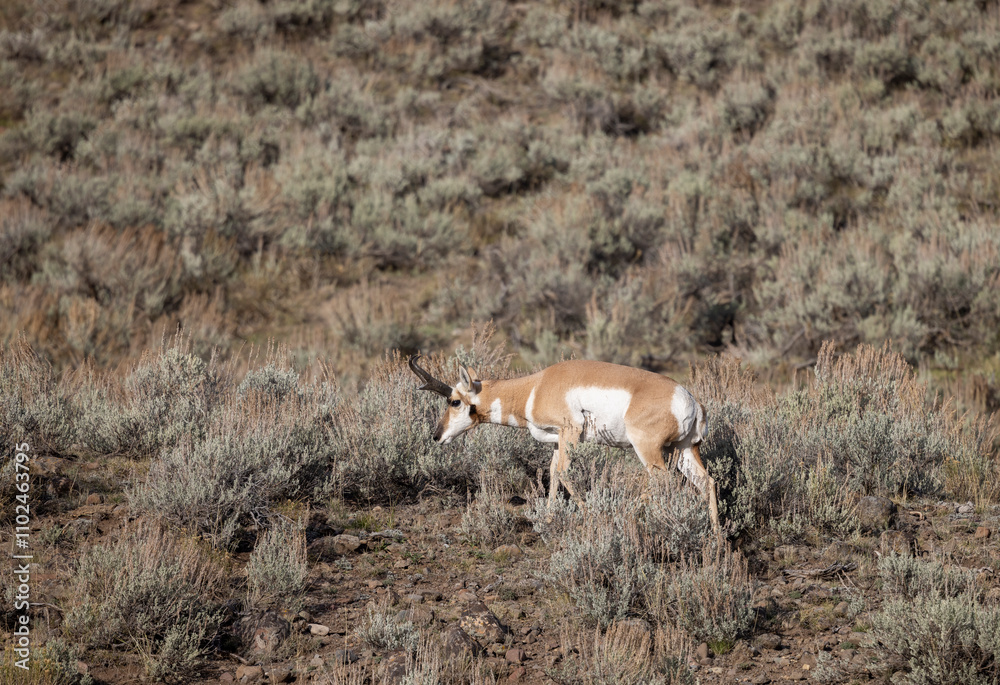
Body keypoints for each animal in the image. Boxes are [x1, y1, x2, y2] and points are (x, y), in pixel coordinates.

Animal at [409, 356, 720, 531]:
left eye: (454, 401)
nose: (437, 436)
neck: (535, 386)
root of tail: (690, 400)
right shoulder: (558, 439)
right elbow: (553, 473)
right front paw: (547, 520)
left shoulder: (571, 432)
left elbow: (565, 472)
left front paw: (588, 516)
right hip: (683, 449)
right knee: (706, 482)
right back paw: (716, 543)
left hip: (649, 451)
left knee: (662, 482)